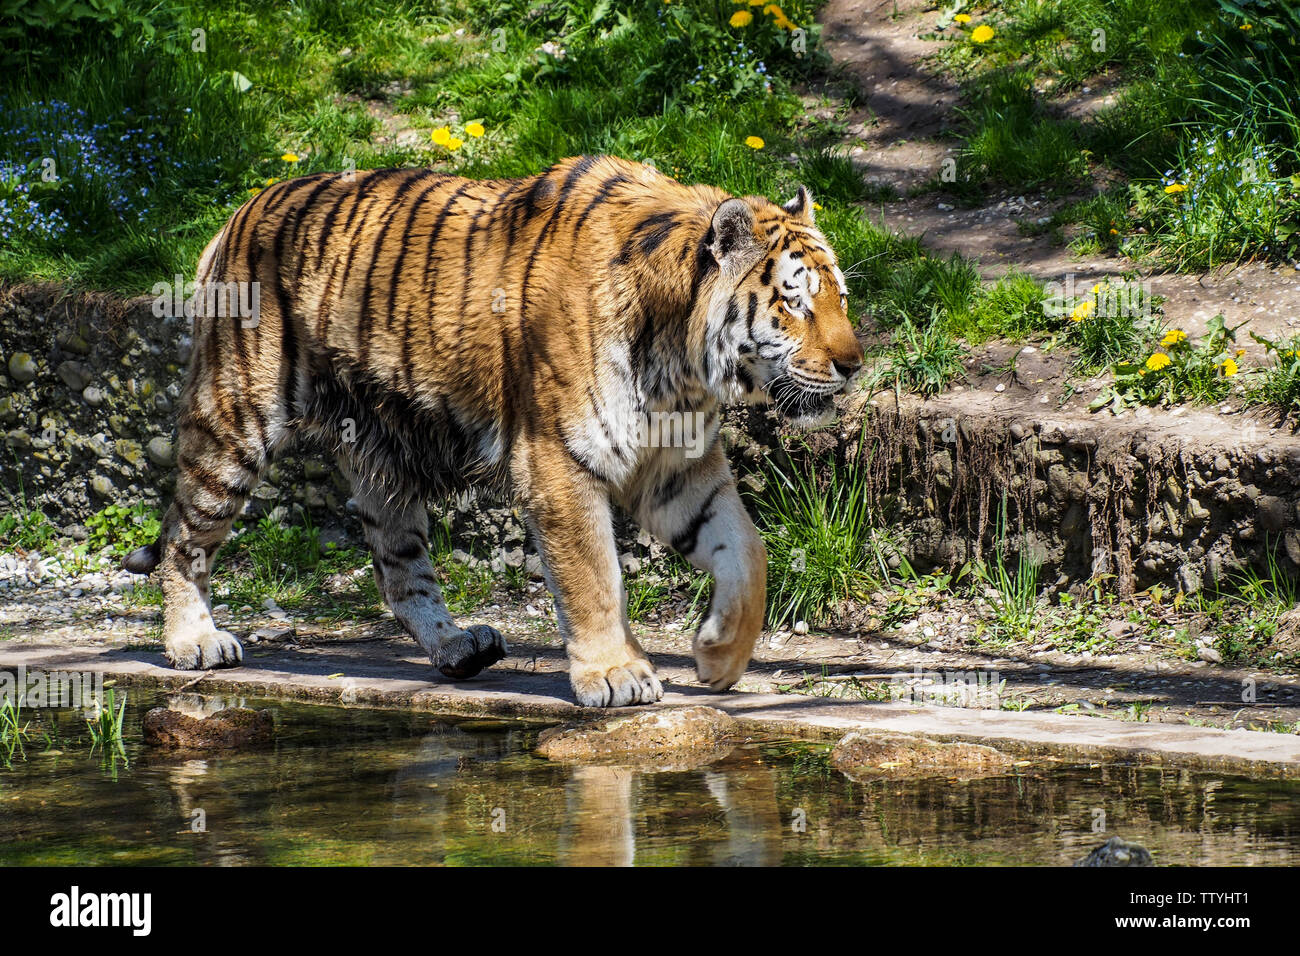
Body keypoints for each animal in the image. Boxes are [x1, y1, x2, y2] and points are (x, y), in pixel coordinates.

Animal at [123, 154, 863, 707]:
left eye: (841, 297)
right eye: (795, 301)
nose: (854, 365)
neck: (681, 365)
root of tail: (238, 213)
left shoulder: (677, 468)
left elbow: (747, 550)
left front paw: (719, 657)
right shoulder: (560, 459)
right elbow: (594, 576)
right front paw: (616, 673)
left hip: (383, 457)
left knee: (398, 568)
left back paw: (457, 648)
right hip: (234, 422)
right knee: (186, 535)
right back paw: (193, 642)